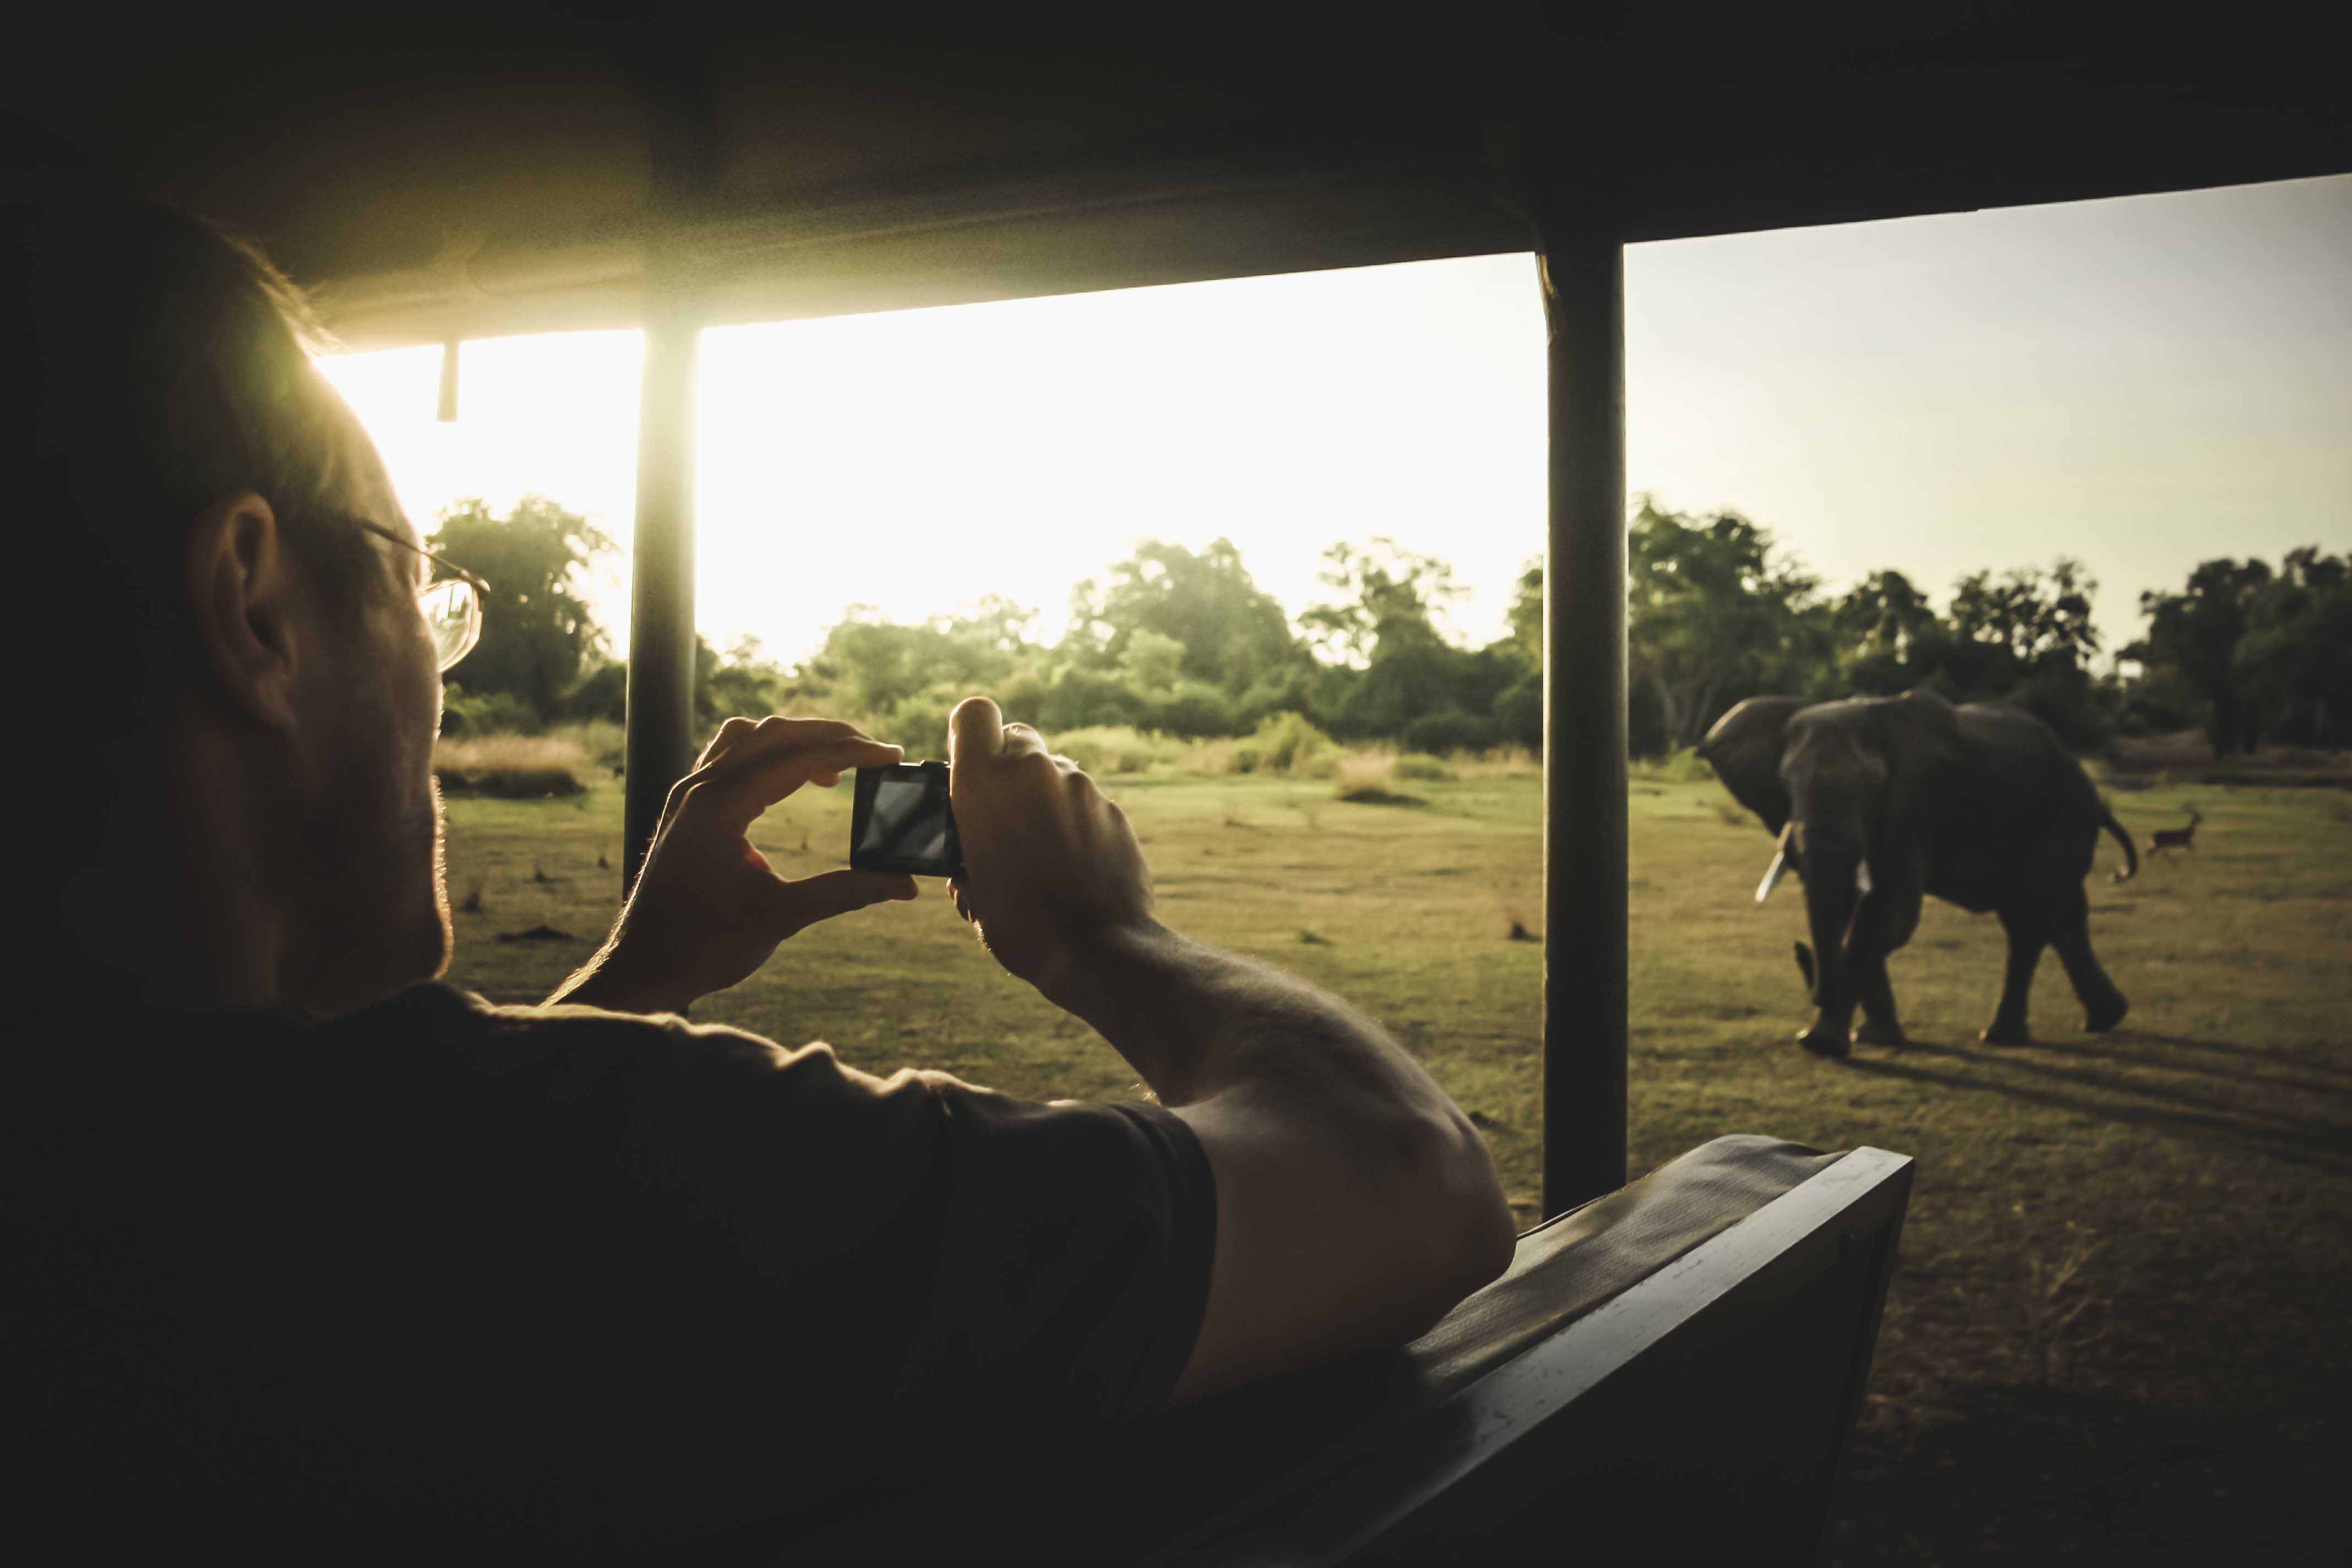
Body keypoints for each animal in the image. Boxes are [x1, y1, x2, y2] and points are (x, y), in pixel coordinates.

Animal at [1702, 682, 2145, 1053]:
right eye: (1785, 783)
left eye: (1872, 789)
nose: (1798, 948)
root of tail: (2096, 797)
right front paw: (1871, 1038)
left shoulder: (1914, 800)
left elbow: (1889, 912)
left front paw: (1822, 1044)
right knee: (2064, 917)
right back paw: (2104, 1019)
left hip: (2060, 821)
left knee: (2027, 920)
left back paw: (2001, 1037)